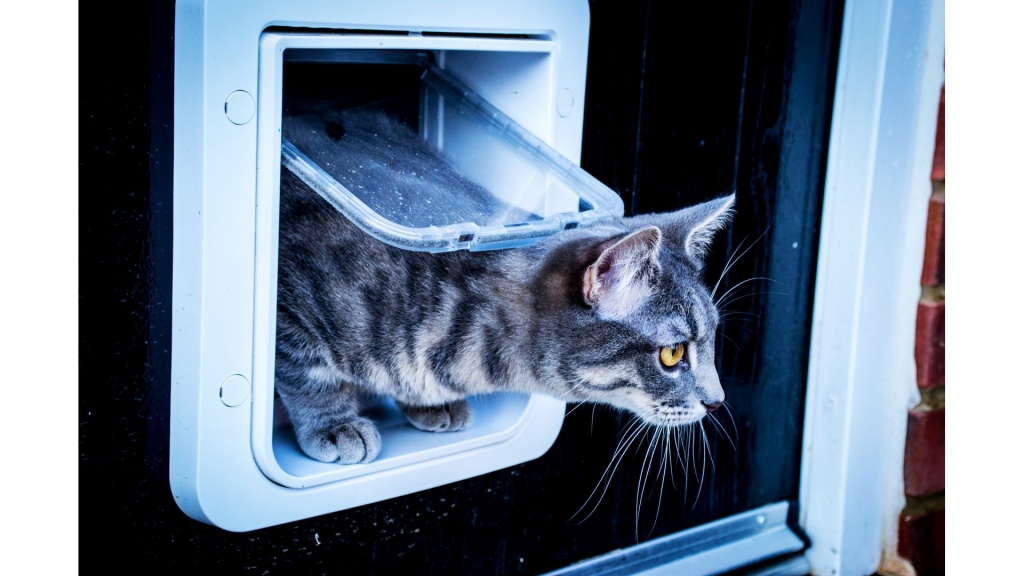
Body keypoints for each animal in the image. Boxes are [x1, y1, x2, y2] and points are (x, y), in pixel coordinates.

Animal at [274, 106, 737, 461]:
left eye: (715, 338)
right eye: (672, 354)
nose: (718, 402)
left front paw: (430, 403)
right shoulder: (287, 306)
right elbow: (306, 371)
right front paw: (333, 425)